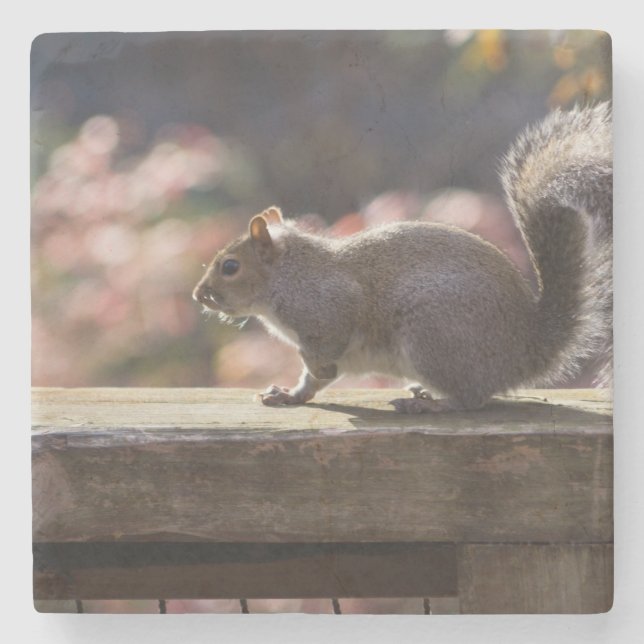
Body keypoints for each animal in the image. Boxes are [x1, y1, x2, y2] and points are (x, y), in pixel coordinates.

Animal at [193, 103, 612, 412]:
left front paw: (312, 376)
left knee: (471, 399)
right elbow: (311, 380)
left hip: (433, 332)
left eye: (230, 267)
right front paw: (290, 396)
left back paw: (431, 404)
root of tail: (527, 349)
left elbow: (321, 359)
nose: (200, 295)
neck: (287, 275)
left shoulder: (326, 308)